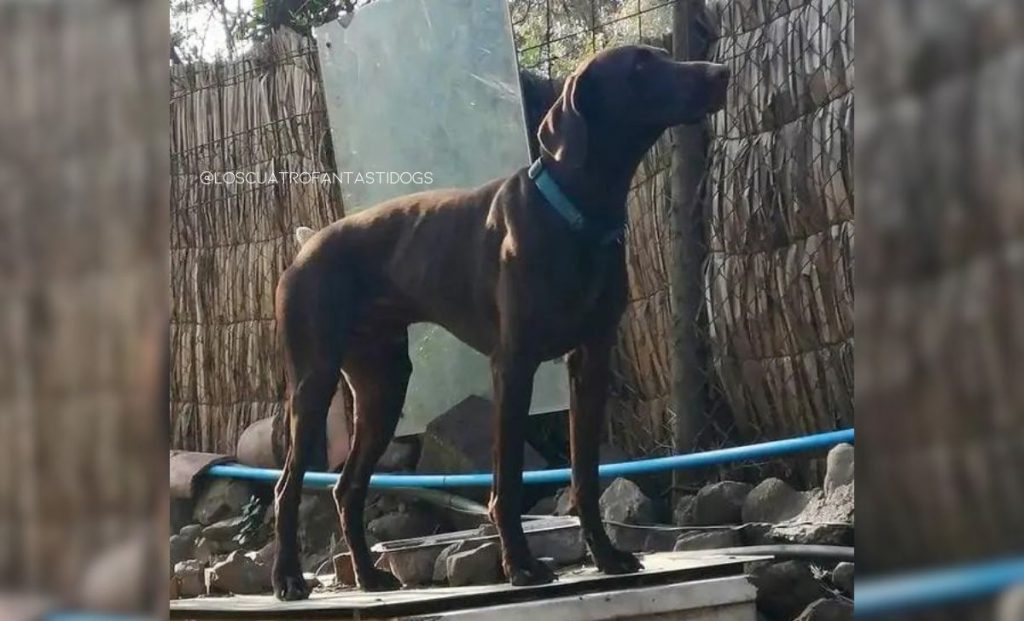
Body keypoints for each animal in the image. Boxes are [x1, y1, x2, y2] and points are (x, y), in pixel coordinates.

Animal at [272, 46, 729, 602]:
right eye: (640, 66)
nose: (721, 73)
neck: (574, 212)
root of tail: (305, 247)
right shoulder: (514, 364)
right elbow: (508, 478)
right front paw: (521, 566)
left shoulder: (591, 360)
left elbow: (585, 473)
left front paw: (606, 556)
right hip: (313, 383)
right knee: (288, 484)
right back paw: (288, 578)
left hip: (382, 388)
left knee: (348, 485)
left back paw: (367, 573)